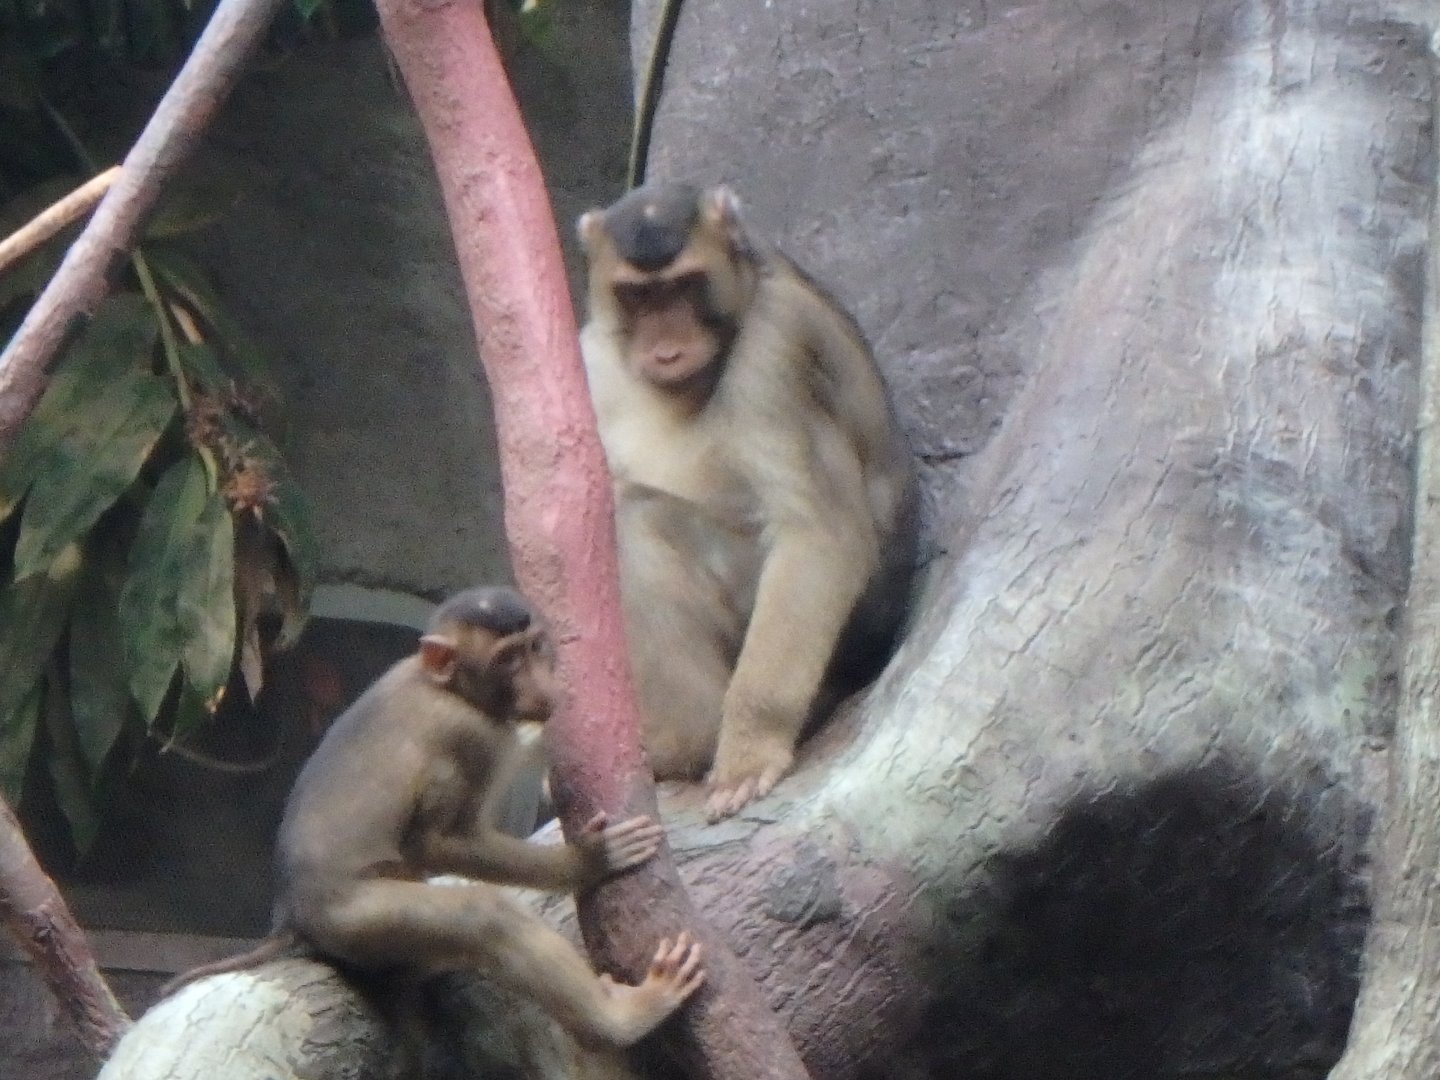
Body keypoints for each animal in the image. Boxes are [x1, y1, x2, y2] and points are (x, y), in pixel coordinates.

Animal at [163, 586, 705, 1050]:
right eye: (508, 659)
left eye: (534, 647)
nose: (542, 684)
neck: (448, 687)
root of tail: (289, 916)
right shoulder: (471, 735)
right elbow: (438, 841)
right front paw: (590, 859)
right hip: (356, 920)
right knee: (484, 918)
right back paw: (623, 1020)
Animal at [577, 183, 920, 821]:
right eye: (638, 294)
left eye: (684, 285)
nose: (665, 349)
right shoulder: (590, 357)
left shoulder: (778, 345)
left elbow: (816, 537)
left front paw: (751, 749)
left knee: (634, 520)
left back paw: (686, 743)